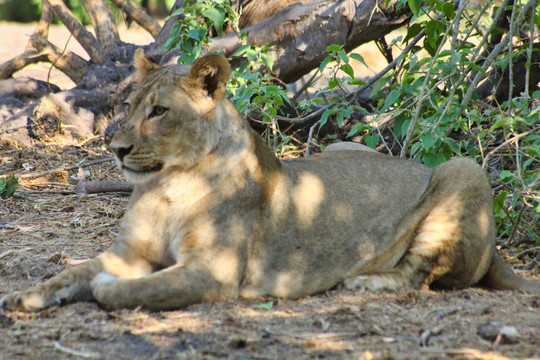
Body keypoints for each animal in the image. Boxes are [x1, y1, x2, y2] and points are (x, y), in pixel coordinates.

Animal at [2, 50, 536, 312]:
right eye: (130, 106)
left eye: (159, 112)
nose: (116, 149)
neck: (165, 185)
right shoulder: (127, 252)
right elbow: (69, 273)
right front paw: (24, 297)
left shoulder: (212, 273)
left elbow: (126, 290)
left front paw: (106, 288)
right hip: (343, 148)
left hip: (462, 169)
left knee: (420, 276)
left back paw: (367, 281)